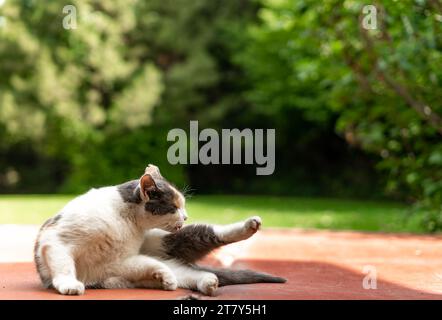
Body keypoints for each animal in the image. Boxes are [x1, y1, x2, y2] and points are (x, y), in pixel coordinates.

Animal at [32, 165, 284, 296]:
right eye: (174, 207)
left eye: (183, 206)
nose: (185, 216)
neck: (128, 224)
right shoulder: (59, 240)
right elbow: (64, 265)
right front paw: (69, 284)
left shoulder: (122, 259)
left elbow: (148, 264)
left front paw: (162, 277)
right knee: (186, 274)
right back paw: (204, 282)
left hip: (166, 240)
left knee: (207, 236)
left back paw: (249, 226)